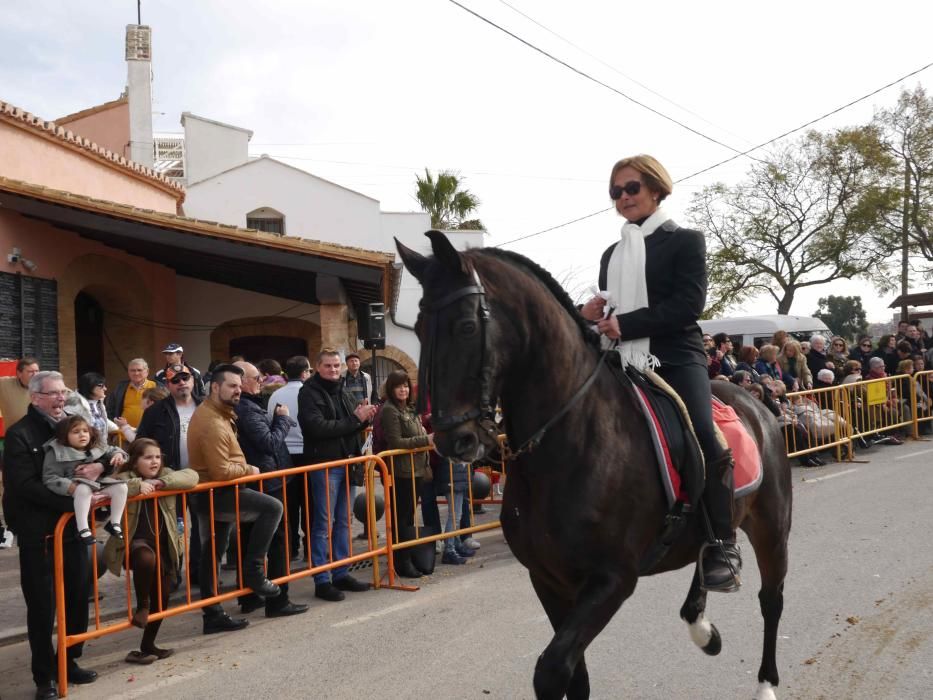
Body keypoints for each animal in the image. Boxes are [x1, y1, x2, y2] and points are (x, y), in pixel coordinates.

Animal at [396, 232, 792, 700]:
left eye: (466, 327)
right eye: (419, 329)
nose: (452, 440)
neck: (571, 440)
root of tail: (758, 404)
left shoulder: (611, 580)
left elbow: (551, 671)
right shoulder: (549, 580)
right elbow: (575, 678)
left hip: (771, 528)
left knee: (771, 599)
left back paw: (765, 682)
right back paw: (703, 623)